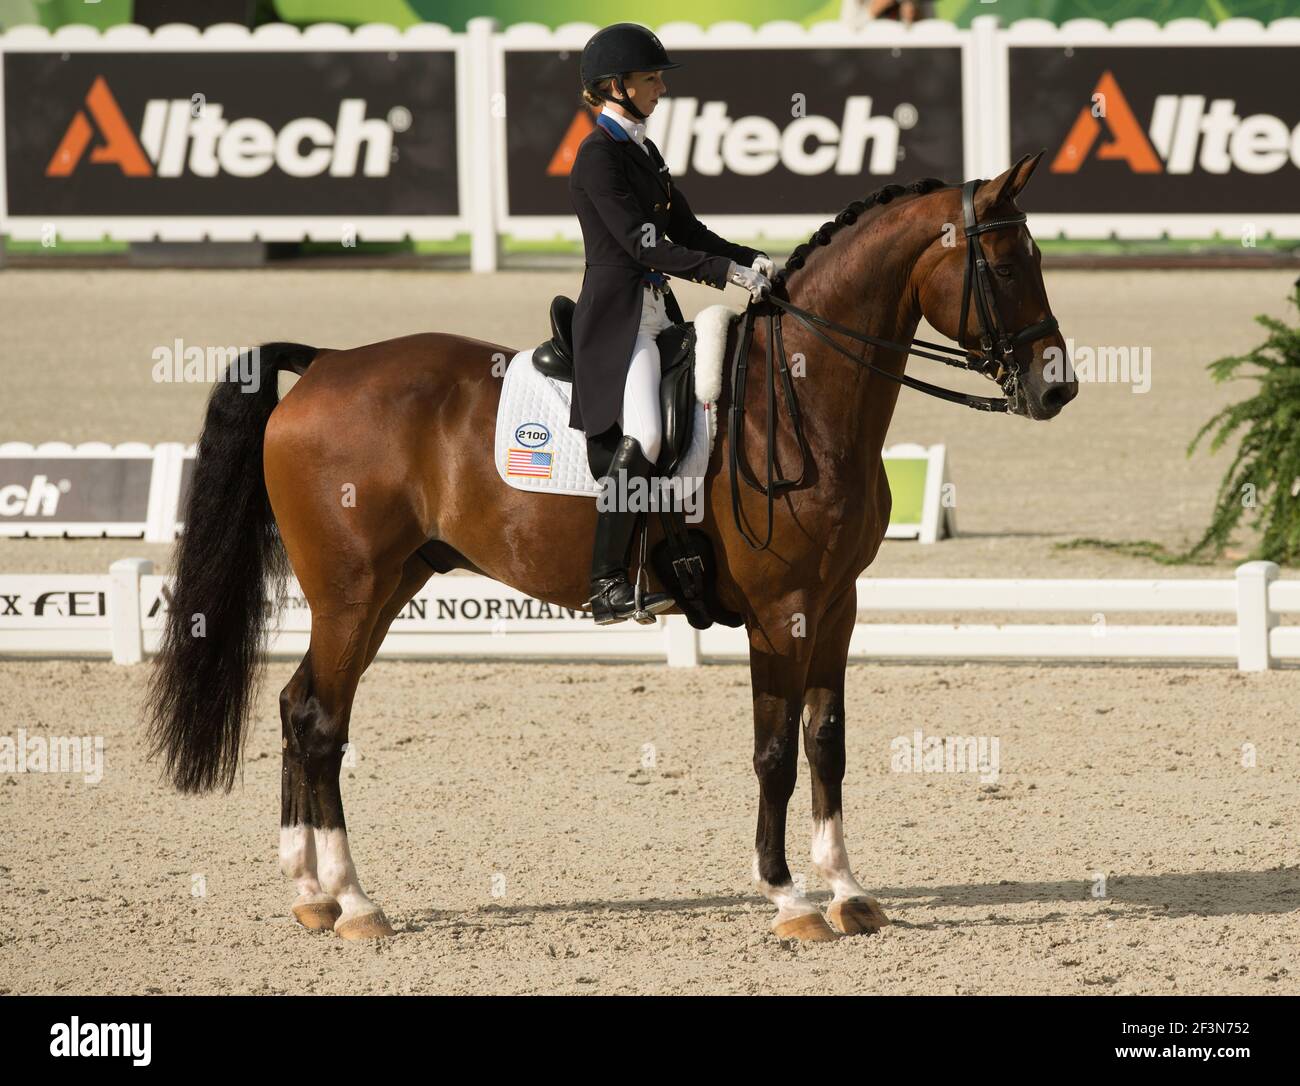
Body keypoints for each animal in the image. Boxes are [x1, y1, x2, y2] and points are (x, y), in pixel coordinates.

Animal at [144, 152, 1076, 941]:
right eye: (1005, 265)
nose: (1055, 387)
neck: (798, 399)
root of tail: (327, 363)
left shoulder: (836, 602)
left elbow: (827, 743)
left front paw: (848, 891)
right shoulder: (781, 612)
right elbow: (774, 752)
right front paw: (789, 899)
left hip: (384, 588)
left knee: (299, 706)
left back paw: (311, 894)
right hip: (350, 590)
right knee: (318, 719)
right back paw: (356, 902)